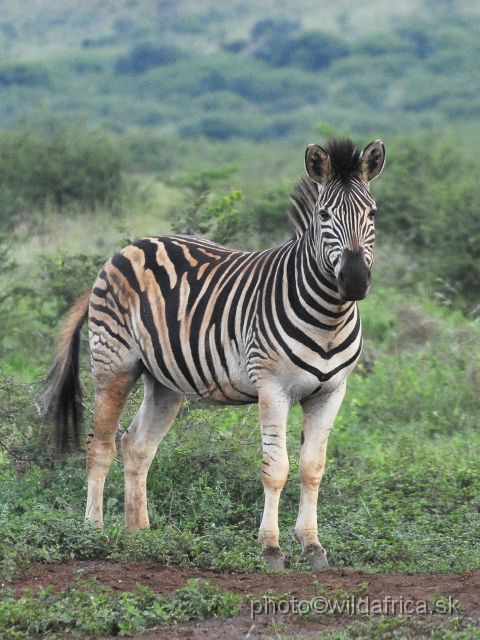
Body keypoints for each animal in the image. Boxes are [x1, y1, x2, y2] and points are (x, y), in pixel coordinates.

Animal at [42, 139, 386, 568]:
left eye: (372, 213)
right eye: (324, 215)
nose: (355, 280)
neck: (329, 317)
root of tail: (129, 247)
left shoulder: (332, 392)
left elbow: (312, 469)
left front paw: (312, 546)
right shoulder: (272, 388)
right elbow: (276, 468)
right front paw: (271, 548)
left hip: (165, 381)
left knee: (136, 446)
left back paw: (140, 534)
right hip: (114, 364)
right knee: (99, 446)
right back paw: (94, 532)